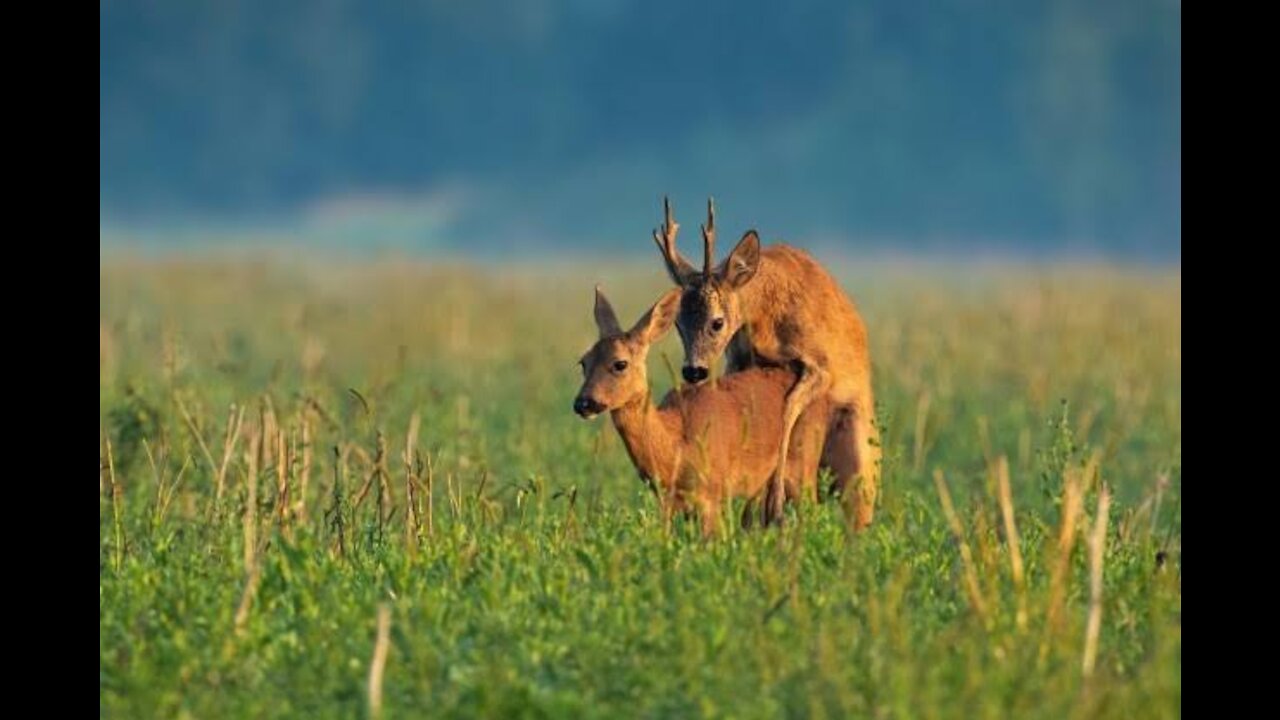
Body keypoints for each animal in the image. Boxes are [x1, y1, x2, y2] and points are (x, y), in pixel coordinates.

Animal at [570, 283, 829, 535]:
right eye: (583, 362)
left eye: (620, 363)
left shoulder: (711, 494)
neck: (675, 445)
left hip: (804, 461)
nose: (583, 403)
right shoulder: (670, 503)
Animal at [650, 196, 880, 527]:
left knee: (860, 511)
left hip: (862, 459)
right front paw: (760, 504)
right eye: (678, 324)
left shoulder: (821, 365)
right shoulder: (741, 360)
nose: (694, 370)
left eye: (717, 322)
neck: (767, 321)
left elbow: (786, 412)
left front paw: (775, 503)